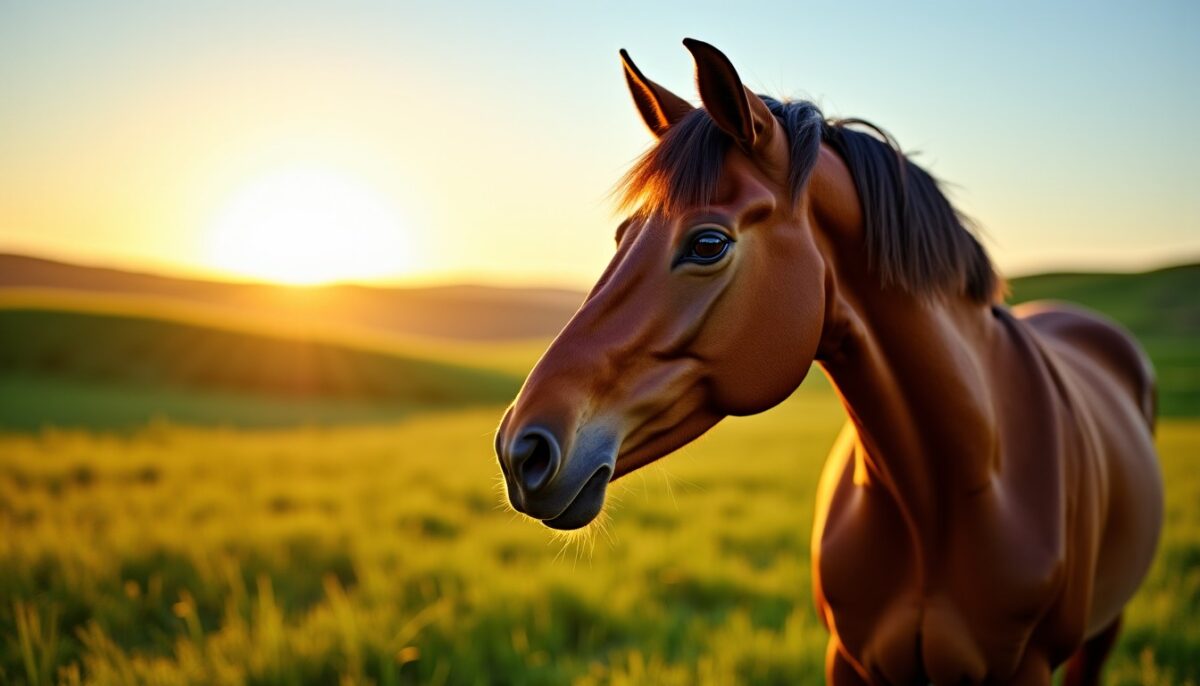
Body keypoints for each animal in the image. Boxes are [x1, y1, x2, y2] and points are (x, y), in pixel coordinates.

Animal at [493, 39, 1163, 685]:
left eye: (707, 243)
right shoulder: (849, 659)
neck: (947, 495)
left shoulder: (1025, 667)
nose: (520, 450)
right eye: (621, 237)